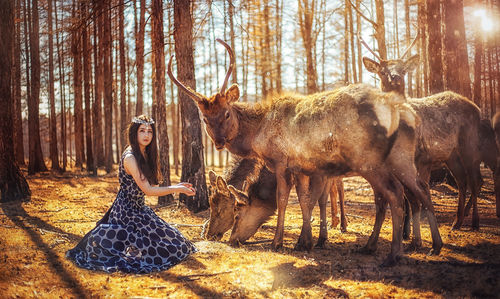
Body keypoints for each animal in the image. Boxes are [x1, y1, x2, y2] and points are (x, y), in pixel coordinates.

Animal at [168, 38, 442, 266]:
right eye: (205, 119)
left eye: (226, 113)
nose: (219, 141)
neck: (258, 134)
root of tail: (400, 109)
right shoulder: (302, 167)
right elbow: (305, 200)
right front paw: (306, 241)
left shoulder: (281, 162)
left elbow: (283, 199)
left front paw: (279, 242)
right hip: (401, 158)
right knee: (419, 189)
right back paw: (429, 245)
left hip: (369, 160)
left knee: (394, 194)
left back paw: (394, 254)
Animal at [360, 34, 484, 248]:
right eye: (383, 71)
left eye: (402, 69)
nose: (395, 77)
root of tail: (476, 107)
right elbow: (408, 198)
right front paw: (408, 236)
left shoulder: (421, 160)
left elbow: (416, 197)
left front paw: (415, 239)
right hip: (451, 156)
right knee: (462, 181)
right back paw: (457, 222)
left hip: (469, 145)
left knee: (475, 180)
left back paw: (474, 222)